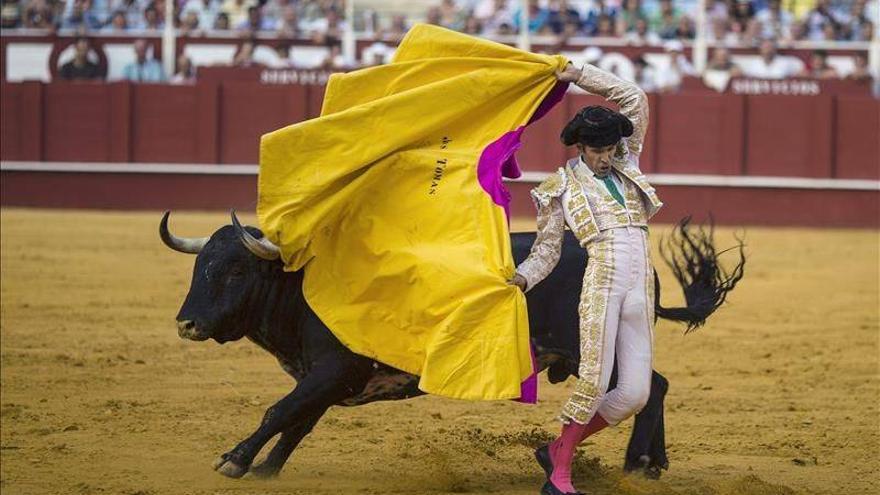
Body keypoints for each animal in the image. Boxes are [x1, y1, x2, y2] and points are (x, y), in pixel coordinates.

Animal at [158, 212, 744, 480]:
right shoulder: (329, 379)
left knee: (651, 385)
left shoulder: (332, 370)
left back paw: (640, 460)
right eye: (198, 265)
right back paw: (649, 462)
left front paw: (235, 460)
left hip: (595, 349)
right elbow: (297, 421)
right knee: (654, 385)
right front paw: (267, 470)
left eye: (236, 271)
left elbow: (279, 410)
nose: (188, 323)